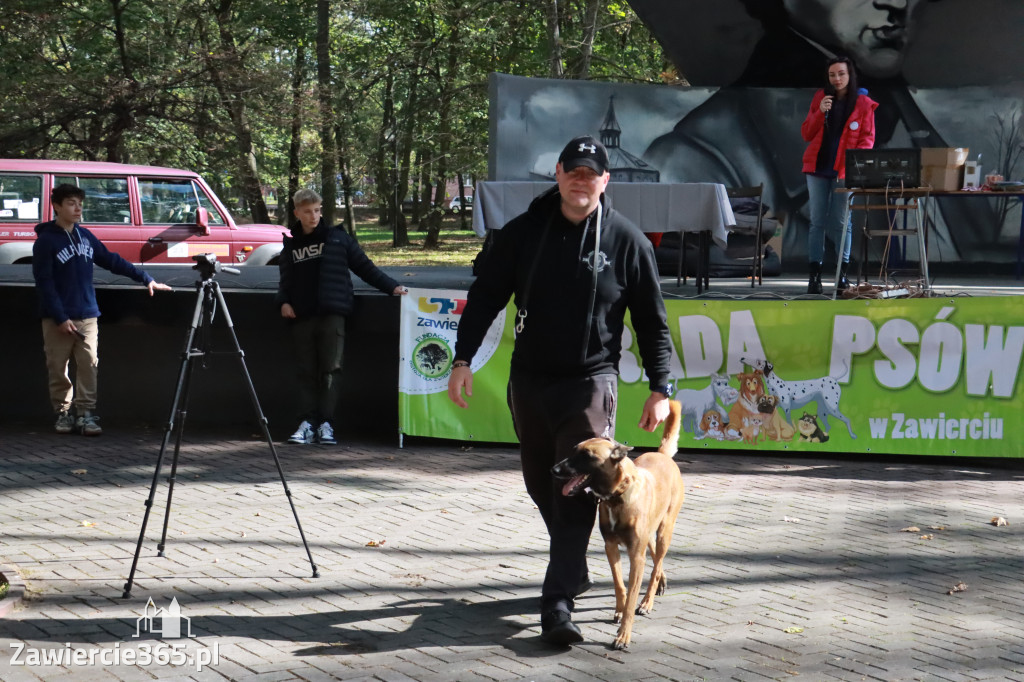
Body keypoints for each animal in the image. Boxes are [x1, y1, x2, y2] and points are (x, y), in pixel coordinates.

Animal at [548, 399, 684, 647]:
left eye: (586, 455)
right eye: (574, 450)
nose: (554, 470)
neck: (617, 496)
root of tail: (662, 455)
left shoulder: (636, 556)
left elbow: (632, 595)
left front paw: (624, 634)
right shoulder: (611, 548)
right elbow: (620, 586)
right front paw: (619, 610)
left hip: (664, 532)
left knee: (656, 564)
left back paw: (647, 601)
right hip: (651, 534)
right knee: (656, 562)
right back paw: (660, 582)